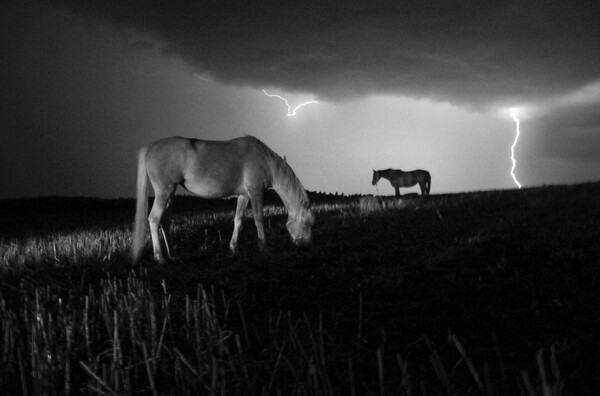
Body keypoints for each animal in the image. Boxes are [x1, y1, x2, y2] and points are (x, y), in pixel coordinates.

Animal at [131, 135, 314, 264]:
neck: (264, 160)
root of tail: (151, 147)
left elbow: (238, 220)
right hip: (164, 192)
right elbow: (259, 219)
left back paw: (174, 256)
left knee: (165, 221)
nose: (306, 247)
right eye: (306, 223)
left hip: (170, 194)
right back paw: (159, 258)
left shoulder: (243, 195)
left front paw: (233, 250)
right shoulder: (255, 193)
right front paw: (264, 248)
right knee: (154, 219)